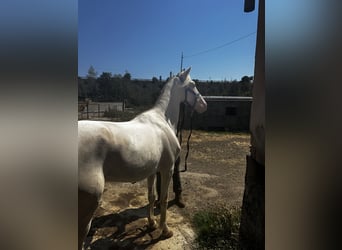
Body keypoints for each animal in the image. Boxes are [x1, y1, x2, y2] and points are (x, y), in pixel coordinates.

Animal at [78, 67, 206, 249]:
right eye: (193, 84)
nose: (204, 105)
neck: (163, 119)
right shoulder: (167, 169)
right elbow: (163, 199)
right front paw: (165, 230)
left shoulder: (152, 171)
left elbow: (151, 197)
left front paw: (152, 224)